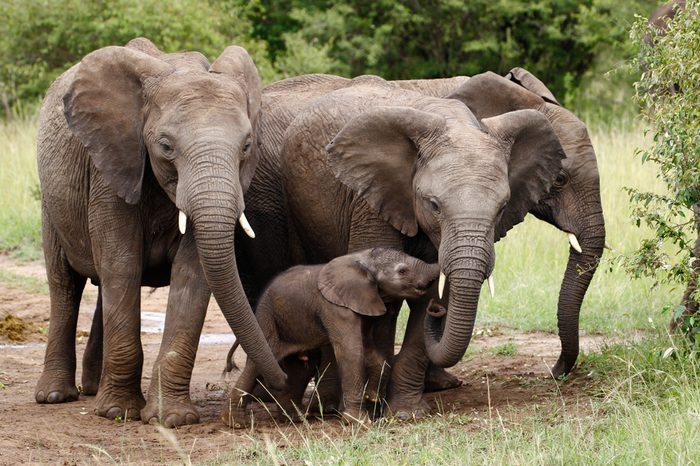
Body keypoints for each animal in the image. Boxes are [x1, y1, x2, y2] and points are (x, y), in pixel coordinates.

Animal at [34, 38, 288, 428]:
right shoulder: (111, 164)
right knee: (65, 286)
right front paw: (118, 413)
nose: (284, 379)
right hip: (52, 203)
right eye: (166, 146)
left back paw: (92, 388)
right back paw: (55, 396)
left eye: (247, 146)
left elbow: (191, 274)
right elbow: (122, 262)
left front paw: (172, 419)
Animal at [221, 248, 438, 426]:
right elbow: (351, 351)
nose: (434, 306)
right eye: (402, 271)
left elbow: (369, 350)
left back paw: (296, 418)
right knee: (259, 363)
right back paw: (236, 423)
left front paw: (372, 398)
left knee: (301, 367)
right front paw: (359, 422)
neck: (363, 259)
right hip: (268, 317)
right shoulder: (335, 307)